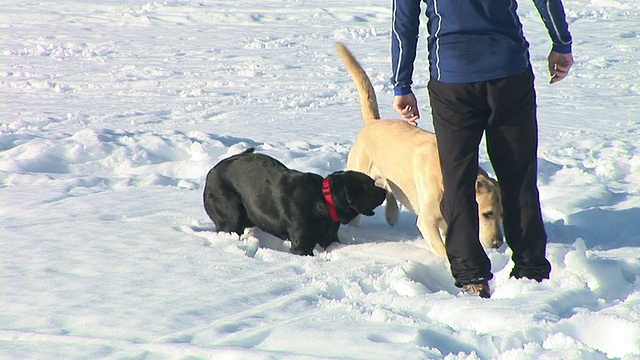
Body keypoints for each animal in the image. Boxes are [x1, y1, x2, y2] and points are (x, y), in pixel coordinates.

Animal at [204, 148, 384, 255]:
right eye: (371, 184)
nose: (385, 191)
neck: (324, 201)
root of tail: (210, 172)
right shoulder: (301, 245)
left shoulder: (330, 236)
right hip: (230, 216)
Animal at [338, 43, 502, 258]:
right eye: (487, 213)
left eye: (502, 215)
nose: (498, 244)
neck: (444, 179)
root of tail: (373, 122)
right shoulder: (427, 221)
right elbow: (442, 249)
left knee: (389, 191)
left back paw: (392, 215)